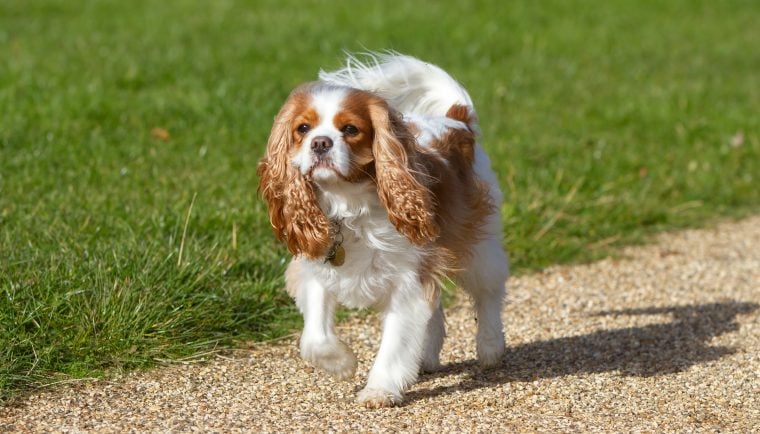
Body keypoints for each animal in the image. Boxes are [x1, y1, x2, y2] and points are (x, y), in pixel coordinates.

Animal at [256, 53, 510, 406]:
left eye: (350, 129)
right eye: (302, 129)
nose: (320, 143)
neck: (348, 205)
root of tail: (456, 120)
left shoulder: (406, 281)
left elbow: (395, 343)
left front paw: (379, 390)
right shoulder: (315, 270)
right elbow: (315, 337)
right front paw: (341, 364)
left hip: (477, 243)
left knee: (489, 292)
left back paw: (489, 347)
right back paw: (426, 358)